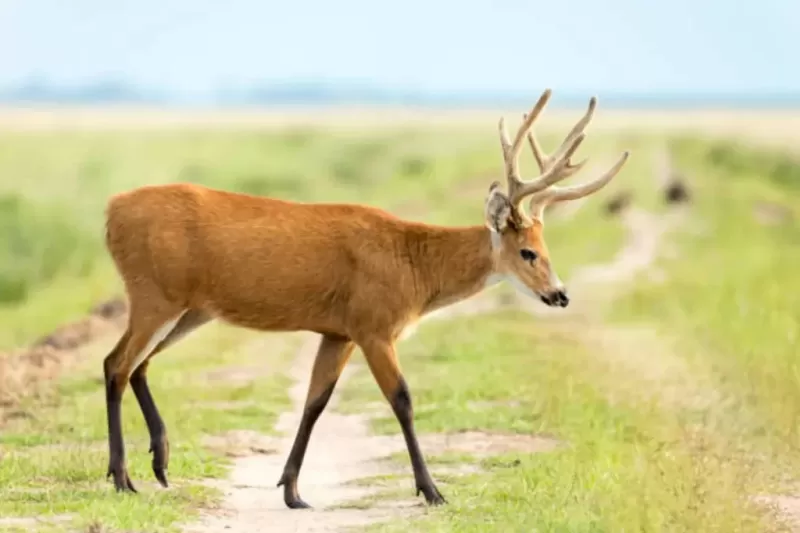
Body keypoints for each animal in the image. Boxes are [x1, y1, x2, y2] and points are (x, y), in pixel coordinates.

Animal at [101, 88, 629, 509]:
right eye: (528, 252)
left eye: (546, 248)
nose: (559, 295)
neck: (413, 265)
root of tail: (110, 212)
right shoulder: (374, 325)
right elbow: (402, 399)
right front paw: (432, 490)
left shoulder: (338, 331)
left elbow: (315, 402)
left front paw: (292, 491)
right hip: (154, 295)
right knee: (116, 364)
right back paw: (123, 478)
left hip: (192, 309)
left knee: (138, 364)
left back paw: (160, 463)